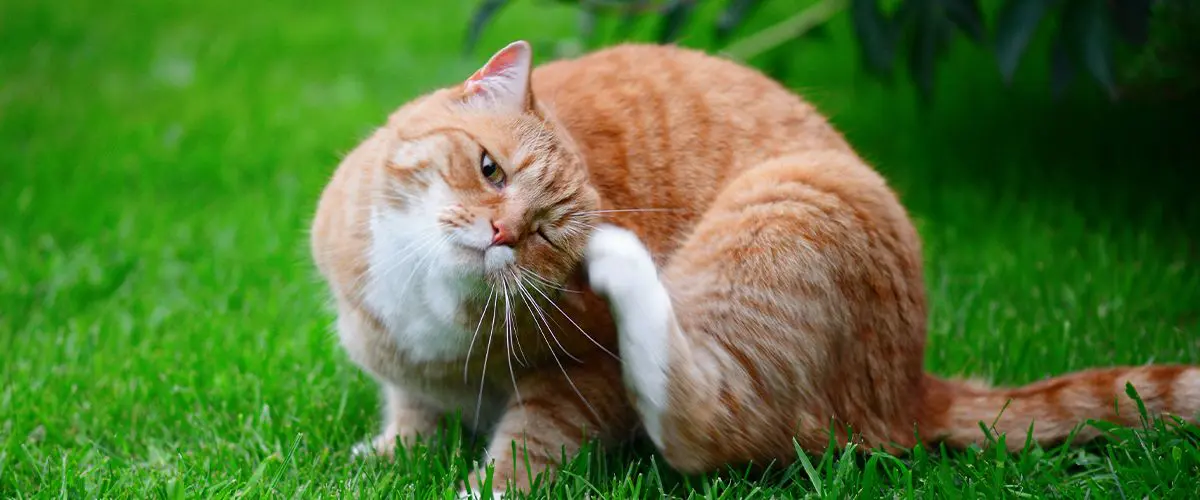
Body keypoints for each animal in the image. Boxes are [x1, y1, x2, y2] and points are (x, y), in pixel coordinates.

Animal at [312, 39, 1200, 494]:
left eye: (546, 238)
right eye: (489, 169)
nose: (500, 233)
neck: (424, 306)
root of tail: (911, 384)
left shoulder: (582, 382)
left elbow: (530, 450)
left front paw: (474, 486)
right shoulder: (400, 368)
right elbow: (412, 413)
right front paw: (391, 453)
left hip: (789, 208)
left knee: (707, 426)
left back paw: (629, 264)